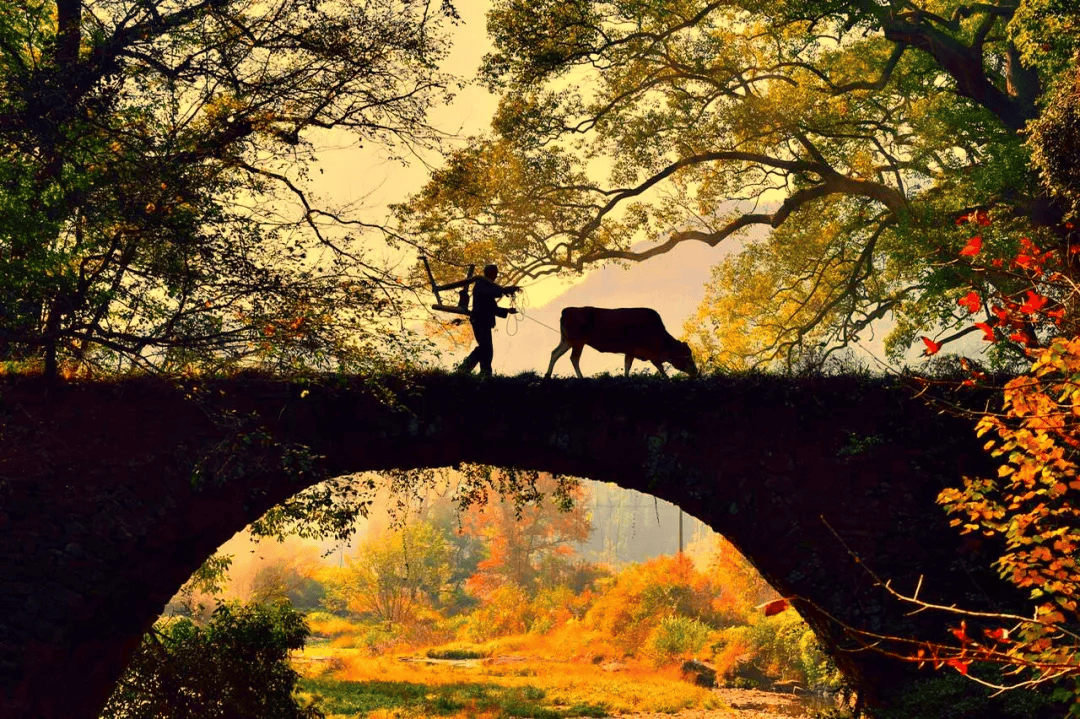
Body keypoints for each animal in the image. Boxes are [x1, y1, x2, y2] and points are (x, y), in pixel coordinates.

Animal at [544, 304, 695, 377]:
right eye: (687, 356)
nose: (696, 372)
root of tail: (567, 310)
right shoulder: (645, 352)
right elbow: (659, 367)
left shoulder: (634, 351)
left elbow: (628, 365)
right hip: (577, 341)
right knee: (573, 358)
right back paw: (580, 377)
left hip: (567, 340)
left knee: (555, 353)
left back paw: (548, 375)